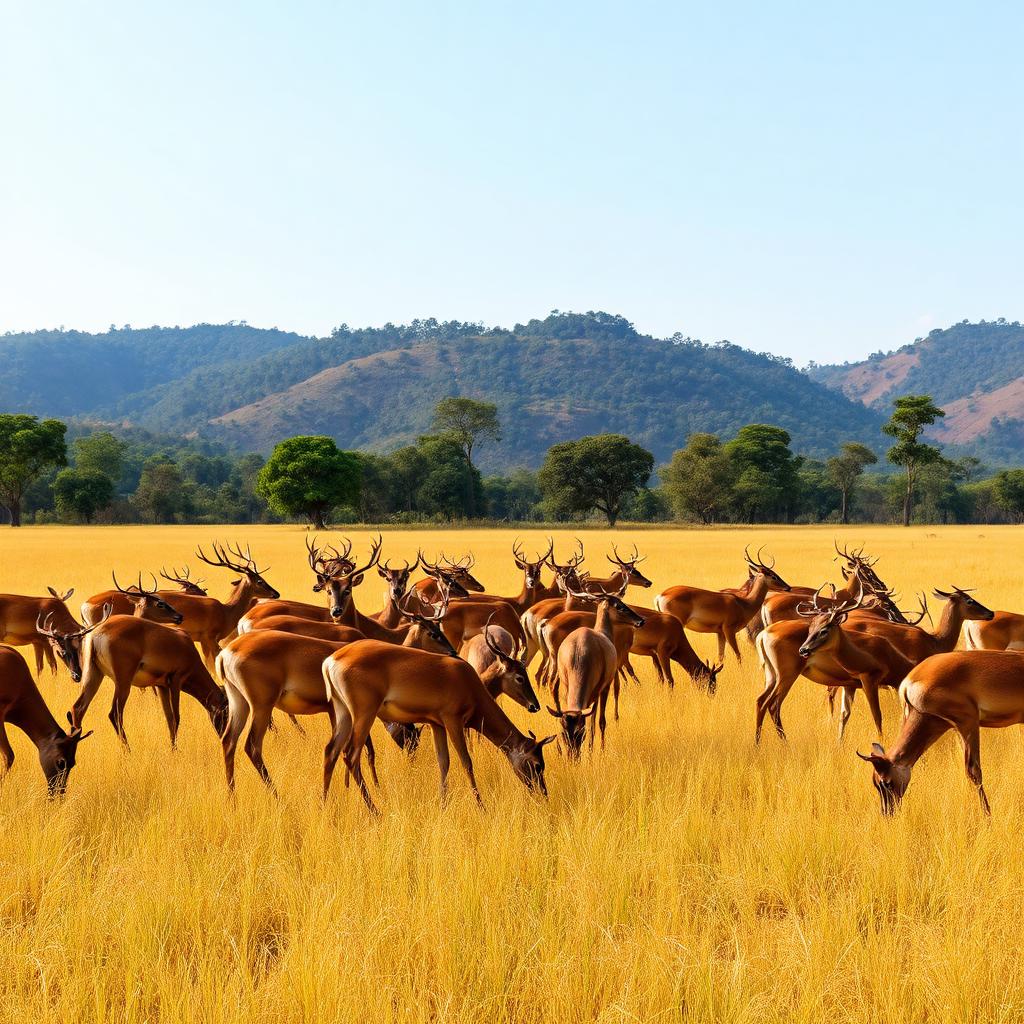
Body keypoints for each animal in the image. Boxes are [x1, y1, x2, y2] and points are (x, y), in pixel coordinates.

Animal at [322, 639, 556, 813]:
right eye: (537, 764)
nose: (543, 793)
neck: (467, 681)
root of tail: (333, 659)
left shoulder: (437, 725)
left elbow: (444, 762)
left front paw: (443, 805)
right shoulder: (453, 722)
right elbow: (466, 762)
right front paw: (481, 807)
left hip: (343, 714)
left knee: (331, 752)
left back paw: (325, 805)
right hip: (364, 714)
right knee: (350, 755)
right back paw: (374, 811)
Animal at [545, 580, 646, 757]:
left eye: (579, 732)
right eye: (619, 605)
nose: (640, 620)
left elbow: (596, 720)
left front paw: (594, 749)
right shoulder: (602, 687)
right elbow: (597, 720)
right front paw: (596, 749)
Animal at [656, 548, 791, 663]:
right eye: (772, 575)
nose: (788, 587)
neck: (743, 603)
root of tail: (661, 595)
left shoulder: (720, 633)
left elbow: (721, 655)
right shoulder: (729, 630)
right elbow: (738, 655)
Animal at [754, 585, 916, 743]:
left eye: (824, 629)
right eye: (811, 628)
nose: (803, 649)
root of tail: (763, 635)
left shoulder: (851, 685)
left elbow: (844, 715)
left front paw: (840, 742)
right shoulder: (869, 682)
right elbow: (877, 714)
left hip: (771, 676)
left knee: (760, 701)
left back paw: (758, 743)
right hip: (786, 677)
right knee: (772, 705)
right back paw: (784, 742)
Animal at [858, 650, 1024, 815]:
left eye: (886, 783)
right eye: (876, 784)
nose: (887, 813)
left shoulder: (968, 722)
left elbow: (973, 771)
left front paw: (987, 815)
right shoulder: (955, 729)